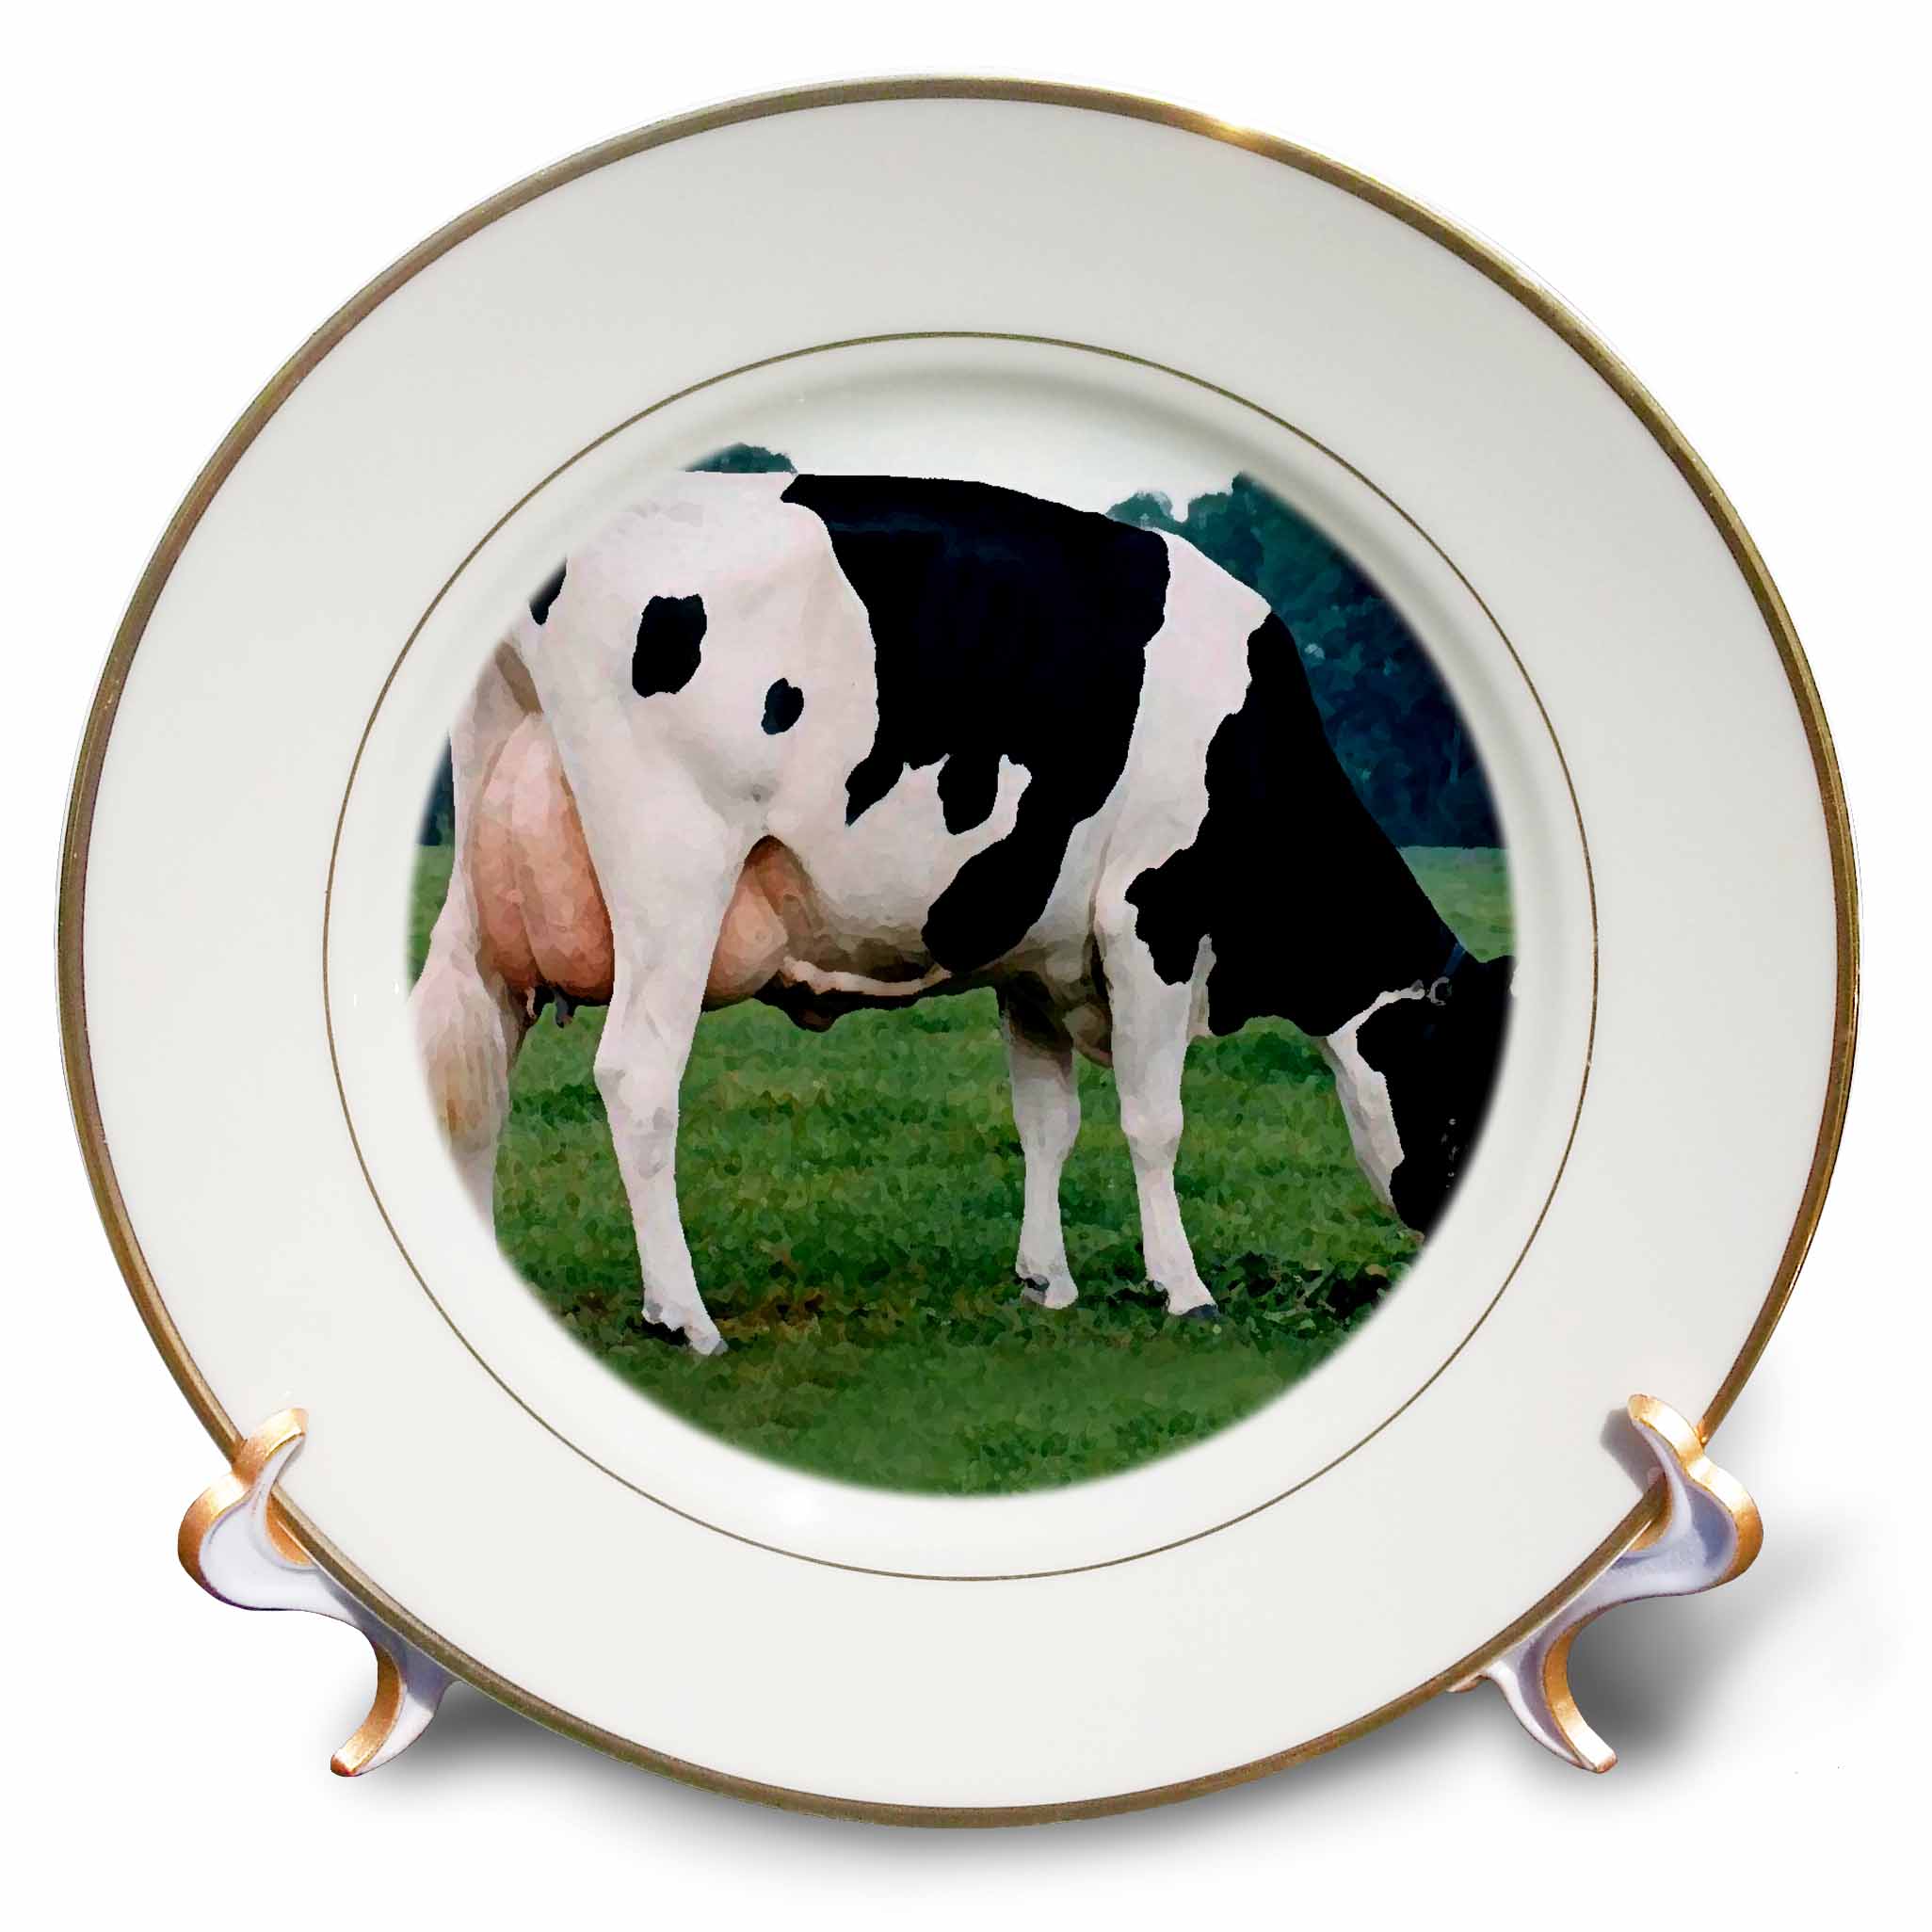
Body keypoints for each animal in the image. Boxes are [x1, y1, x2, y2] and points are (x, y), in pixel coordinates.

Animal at [412, 473, 1512, 1356]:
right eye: (1461, 1090)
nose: (1439, 1225)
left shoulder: (1036, 950)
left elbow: (1048, 1120)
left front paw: (1046, 1280)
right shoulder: (1149, 915)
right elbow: (1154, 1120)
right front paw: (1184, 1288)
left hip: (491, 890)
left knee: (470, 1060)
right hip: (675, 870)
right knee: (637, 1078)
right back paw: (684, 1317)